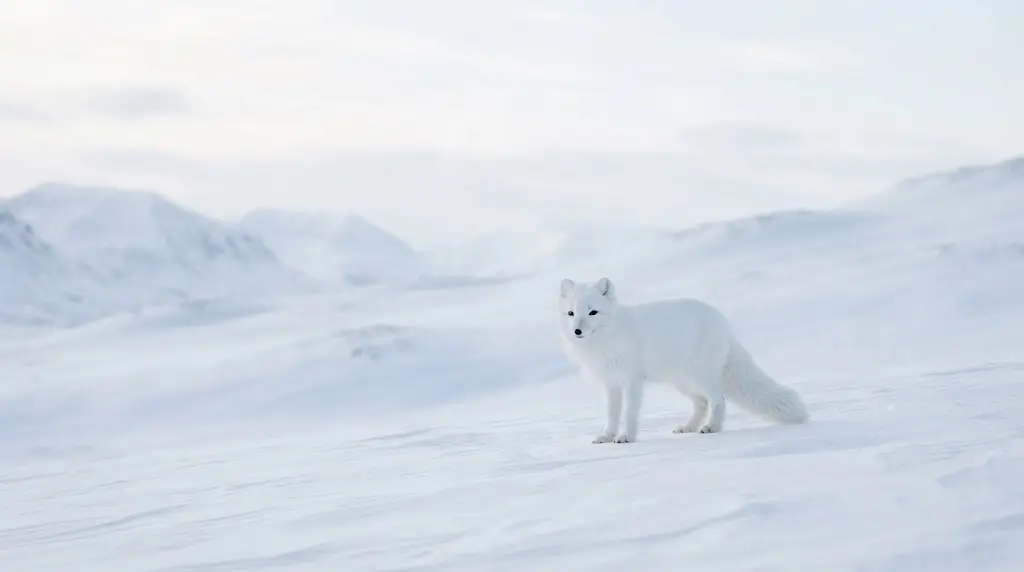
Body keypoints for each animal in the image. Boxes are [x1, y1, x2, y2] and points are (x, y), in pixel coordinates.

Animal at [558, 276, 809, 443]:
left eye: (593, 312)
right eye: (571, 313)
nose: (577, 331)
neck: (606, 338)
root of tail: (725, 324)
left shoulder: (633, 381)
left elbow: (629, 412)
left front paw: (627, 437)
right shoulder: (611, 383)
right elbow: (612, 414)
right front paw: (607, 437)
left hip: (701, 376)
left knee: (718, 400)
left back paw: (712, 427)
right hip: (682, 381)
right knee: (702, 403)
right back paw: (689, 428)